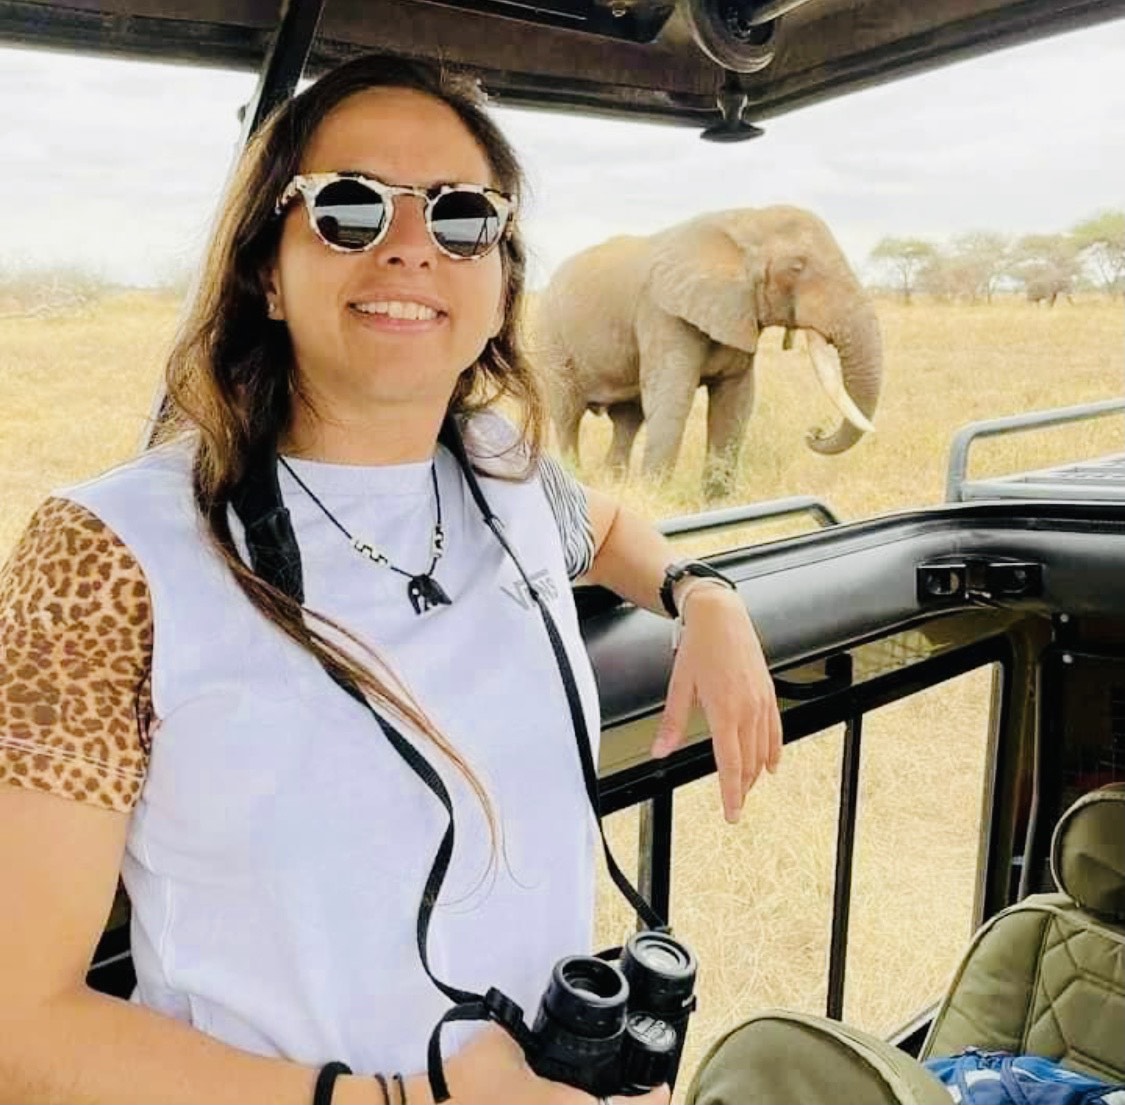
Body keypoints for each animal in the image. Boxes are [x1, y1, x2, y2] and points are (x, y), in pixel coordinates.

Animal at [535, 205, 883, 497]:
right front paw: (655, 496)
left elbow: (735, 401)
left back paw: (613, 484)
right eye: (797, 267)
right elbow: (672, 397)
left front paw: (716, 501)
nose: (814, 431)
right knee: (567, 415)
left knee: (627, 420)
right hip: (552, 339)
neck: (748, 220)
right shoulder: (662, 313)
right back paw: (578, 479)